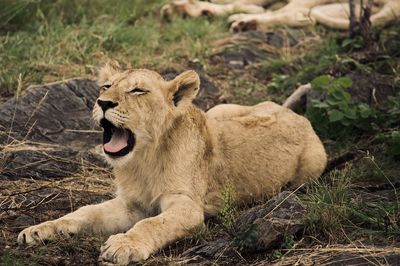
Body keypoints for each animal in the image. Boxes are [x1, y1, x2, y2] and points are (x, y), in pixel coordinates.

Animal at [17, 62, 326, 264]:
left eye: (137, 91)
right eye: (106, 86)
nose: (103, 102)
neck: (144, 159)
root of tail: (292, 115)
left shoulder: (187, 207)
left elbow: (152, 224)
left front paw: (123, 245)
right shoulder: (131, 204)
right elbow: (85, 213)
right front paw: (40, 230)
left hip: (312, 167)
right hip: (219, 110)